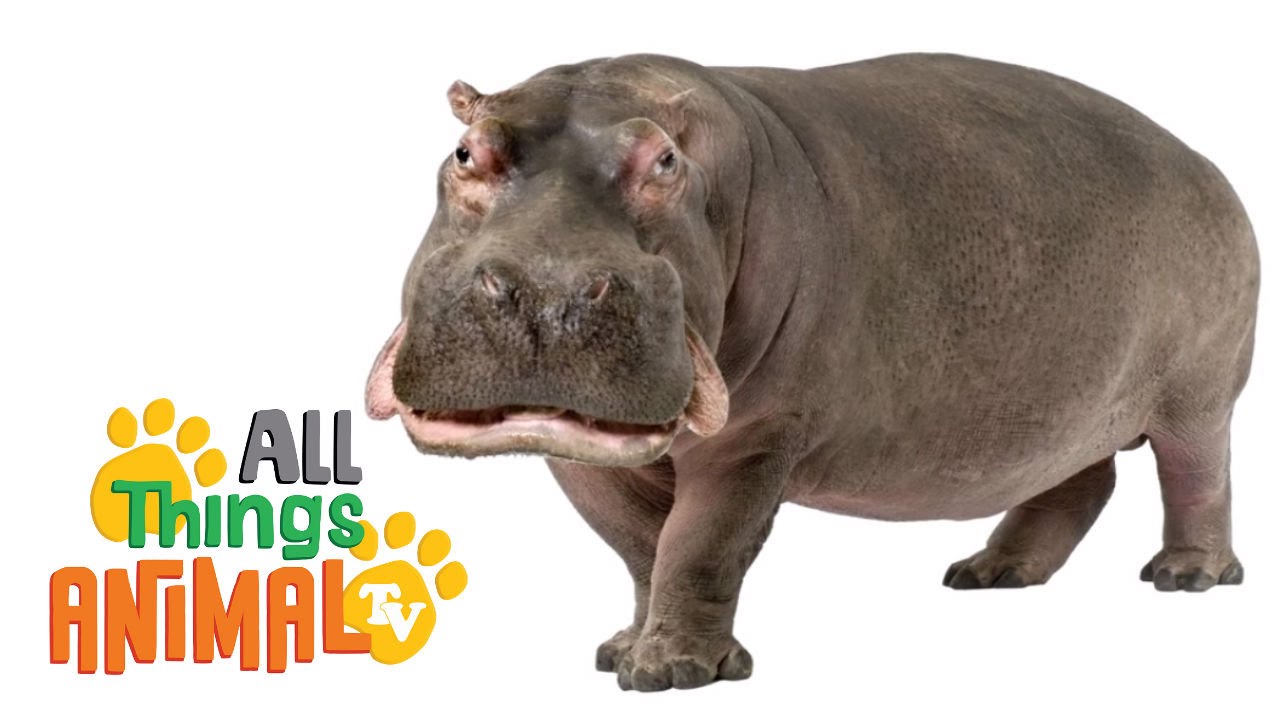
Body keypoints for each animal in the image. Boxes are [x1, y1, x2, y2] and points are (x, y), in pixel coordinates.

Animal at [364, 53, 1259, 691]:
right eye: (465, 150)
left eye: (664, 162)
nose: (546, 293)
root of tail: (1206, 162)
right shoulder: (580, 456)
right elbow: (639, 547)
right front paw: (622, 648)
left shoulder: (758, 437)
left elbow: (701, 542)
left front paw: (673, 671)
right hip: (1066, 404)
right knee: (1077, 480)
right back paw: (989, 574)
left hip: (1199, 392)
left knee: (1197, 474)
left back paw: (1186, 576)